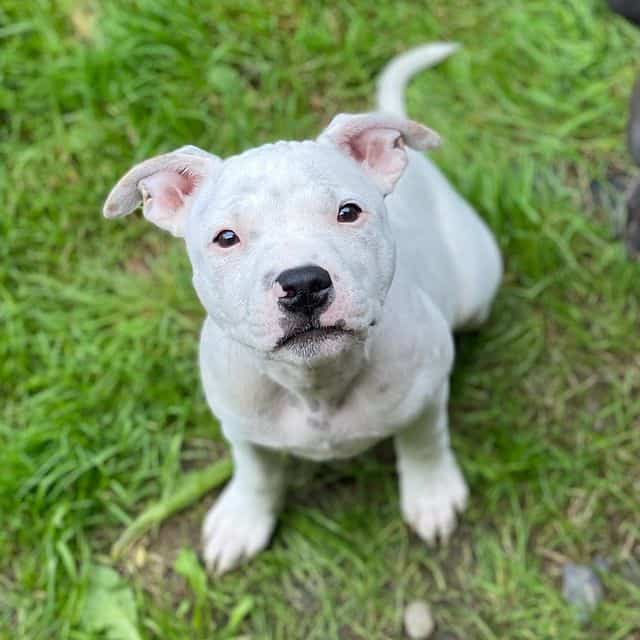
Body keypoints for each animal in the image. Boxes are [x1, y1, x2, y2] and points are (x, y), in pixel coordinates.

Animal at [104, 43, 500, 576]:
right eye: (226, 237)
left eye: (348, 212)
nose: (303, 284)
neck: (315, 384)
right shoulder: (241, 426)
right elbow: (257, 471)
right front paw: (243, 520)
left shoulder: (426, 394)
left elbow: (423, 442)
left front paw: (431, 493)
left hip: (476, 289)